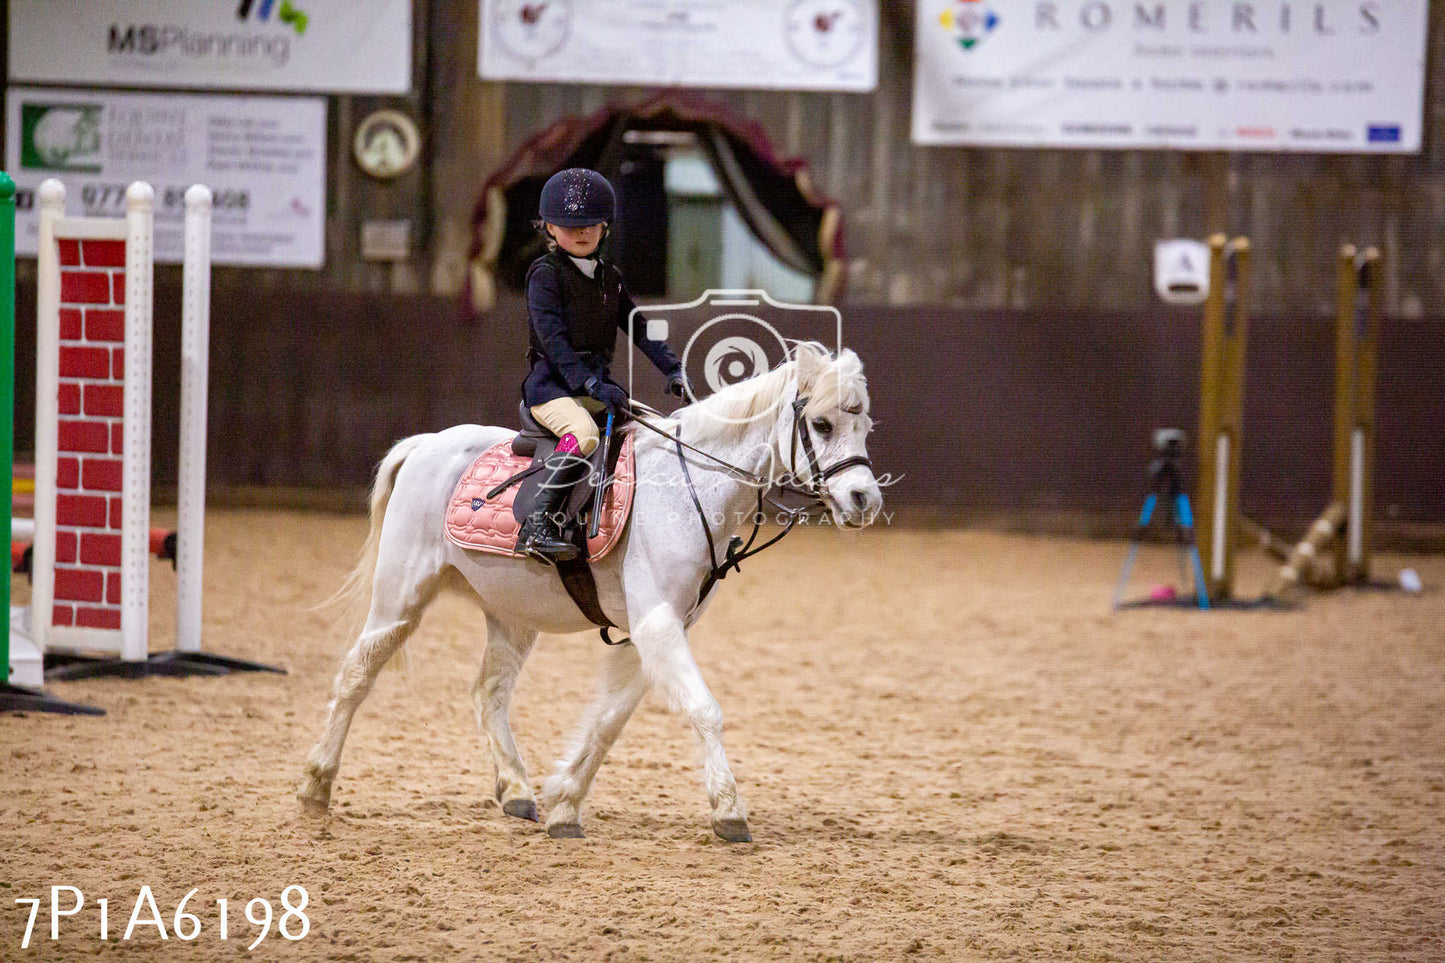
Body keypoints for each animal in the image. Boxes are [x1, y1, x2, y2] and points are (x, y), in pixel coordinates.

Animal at [296, 341, 878, 838]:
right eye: (821, 423)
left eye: (864, 424)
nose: (864, 500)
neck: (689, 487)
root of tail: (425, 446)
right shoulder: (658, 623)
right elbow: (703, 709)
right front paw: (729, 811)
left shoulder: (657, 629)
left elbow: (609, 720)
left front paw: (566, 804)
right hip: (399, 600)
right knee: (356, 675)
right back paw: (316, 786)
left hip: (513, 615)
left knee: (489, 692)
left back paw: (517, 791)